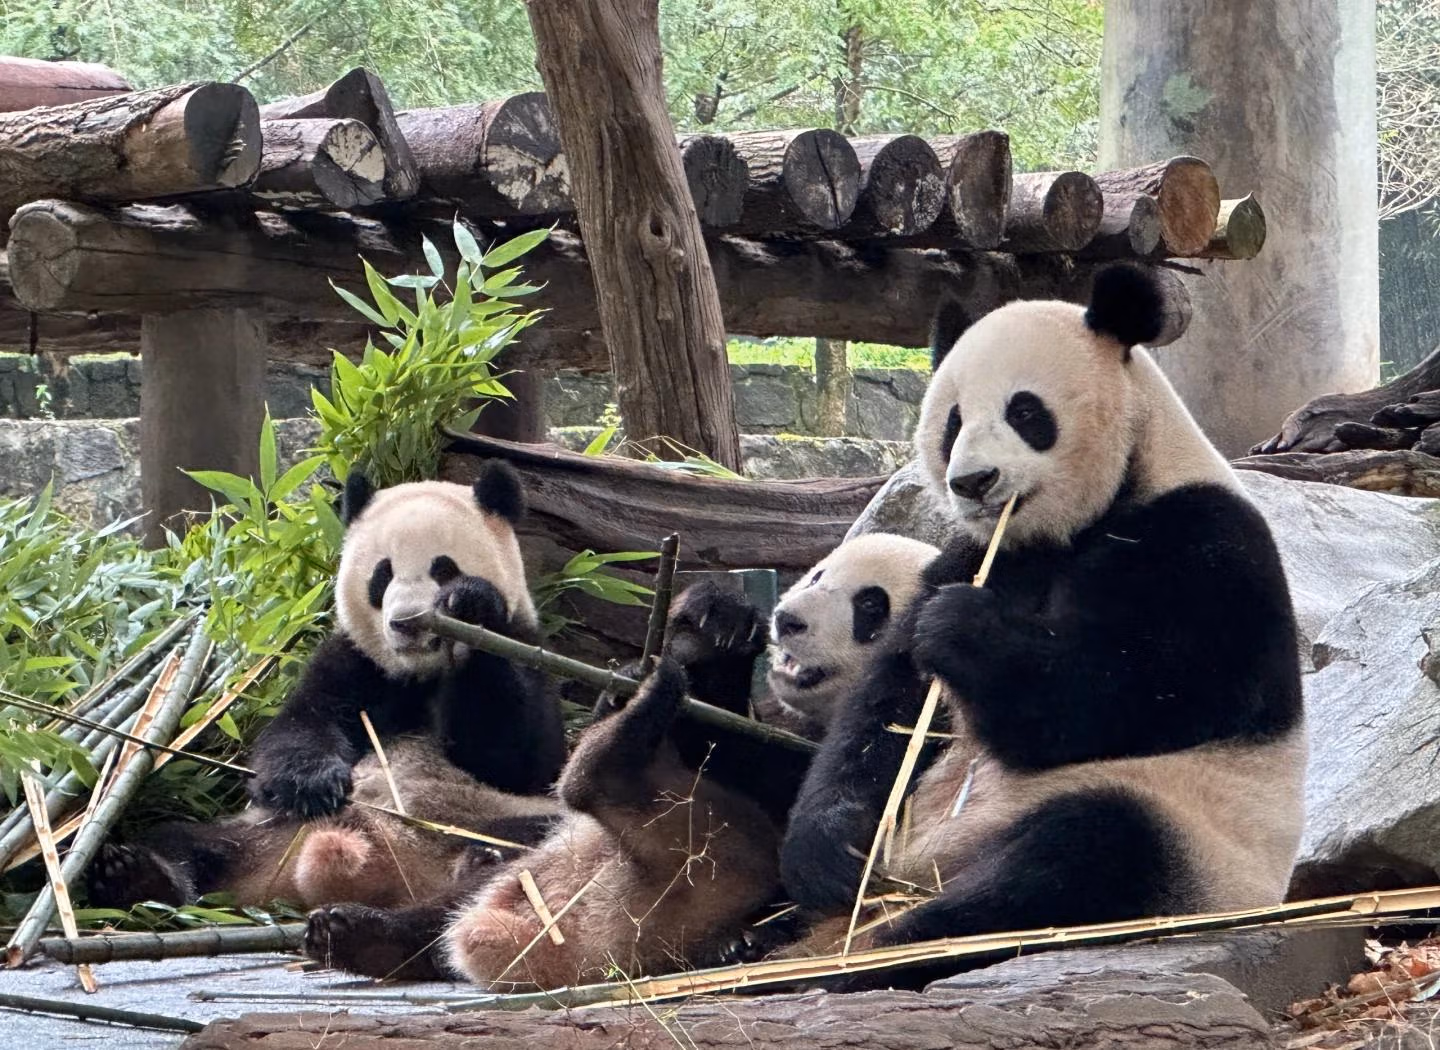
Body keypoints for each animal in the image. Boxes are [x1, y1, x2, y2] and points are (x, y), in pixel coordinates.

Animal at [88, 463, 566, 913]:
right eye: (382, 575)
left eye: (443, 567)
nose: (406, 623)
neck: (417, 672)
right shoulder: (355, 660)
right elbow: (299, 727)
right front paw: (315, 784)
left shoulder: (529, 646)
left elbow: (519, 758)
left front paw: (468, 604)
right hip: (254, 833)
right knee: (182, 842)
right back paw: (135, 875)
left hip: (485, 820)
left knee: (534, 837)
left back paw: (477, 860)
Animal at [778, 264, 1307, 987]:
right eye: (953, 421)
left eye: (1025, 413)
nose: (973, 482)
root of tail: (932, 869)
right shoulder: (972, 554)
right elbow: (886, 709)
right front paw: (829, 850)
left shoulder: (1206, 539)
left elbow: (1138, 692)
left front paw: (962, 626)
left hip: (1192, 837)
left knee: (1083, 854)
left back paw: (886, 949)